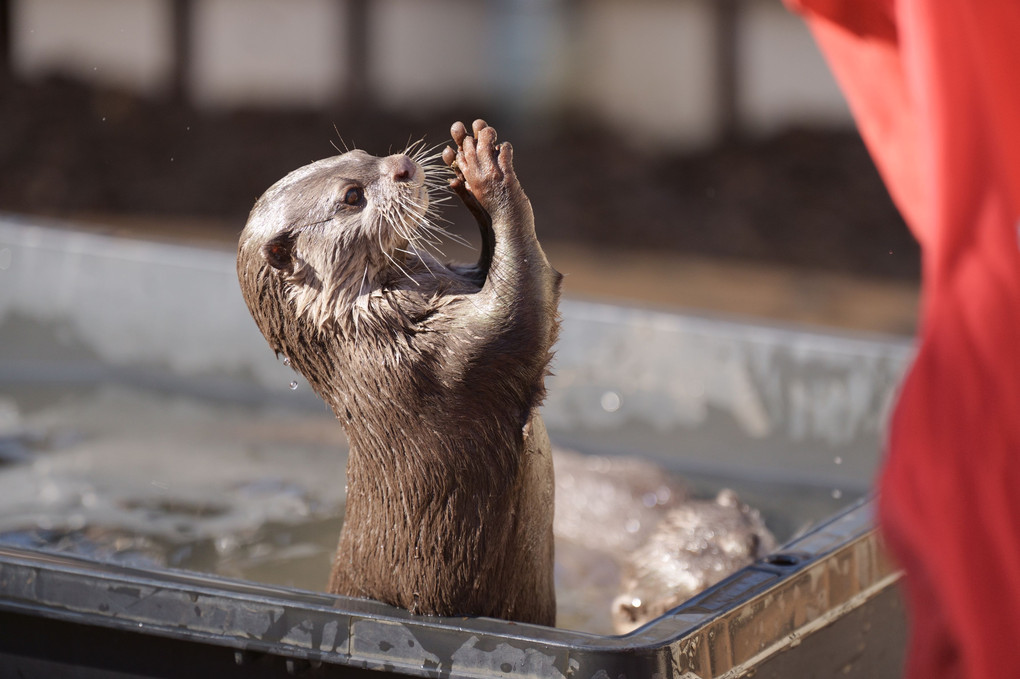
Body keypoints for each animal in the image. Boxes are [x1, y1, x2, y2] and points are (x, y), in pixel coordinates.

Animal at [235, 120, 563, 623]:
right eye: (352, 196)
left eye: (361, 152)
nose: (404, 165)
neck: (369, 332)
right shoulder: (443, 363)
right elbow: (523, 302)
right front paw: (487, 176)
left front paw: (467, 176)